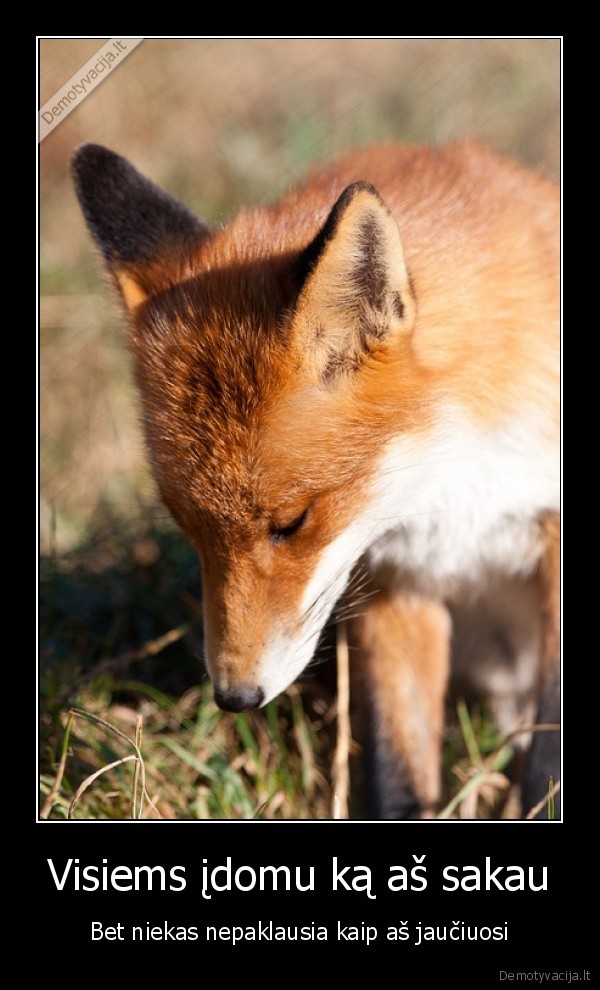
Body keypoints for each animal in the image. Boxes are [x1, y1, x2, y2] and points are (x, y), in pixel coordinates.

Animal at [71, 140, 560, 820]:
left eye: (292, 523)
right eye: (192, 533)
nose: (234, 696)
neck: (452, 484)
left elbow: (550, 755)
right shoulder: (398, 577)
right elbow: (397, 769)